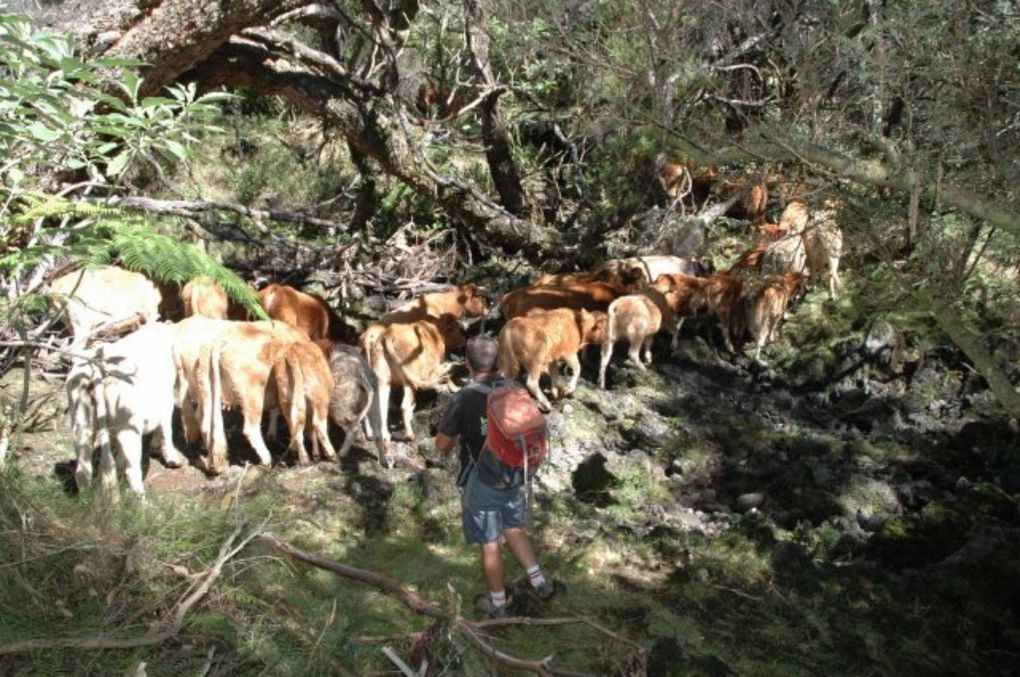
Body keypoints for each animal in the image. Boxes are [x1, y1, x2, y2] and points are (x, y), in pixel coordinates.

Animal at [66, 322, 186, 497]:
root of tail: (98, 367)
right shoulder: (166, 401)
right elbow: (166, 430)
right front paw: (173, 459)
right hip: (128, 428)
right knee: (133, 471)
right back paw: (143, 503)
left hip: (81, 421)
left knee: (83, 470)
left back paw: (85, 499)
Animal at [363, 314, 467, 442]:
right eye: (457, 328)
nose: (463, 340)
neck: (435, 331)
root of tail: (388, 335)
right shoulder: (437, 363)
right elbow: (447, 375)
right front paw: (455, 388)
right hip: (409, 381)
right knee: (404, 406)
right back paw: (410, 435)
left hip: (383, 381)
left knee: (379, 407)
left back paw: (380, 437)